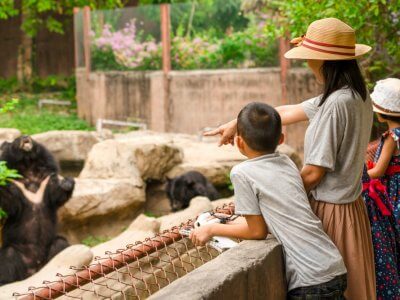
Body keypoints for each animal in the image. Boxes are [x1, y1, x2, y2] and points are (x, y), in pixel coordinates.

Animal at [0, 137, 74, 286]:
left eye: (31, 139)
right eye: (16, 140)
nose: (25, 138)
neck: (28, 167)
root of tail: (35, 268)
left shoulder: (46, 180)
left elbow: (57, 194)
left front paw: (66, 182)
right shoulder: (15, 185)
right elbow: (9, 201)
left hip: (49, 251)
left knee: (60, 245)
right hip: (18, 252)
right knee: (7, 257)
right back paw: (5, 282)